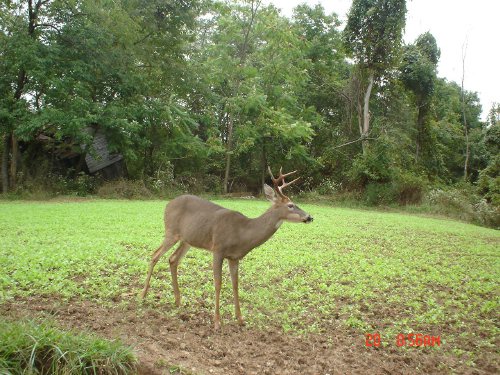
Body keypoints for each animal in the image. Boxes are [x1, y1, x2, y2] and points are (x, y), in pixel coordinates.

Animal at [141, 167, 312, 328]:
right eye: (290, 205)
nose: (309, 217)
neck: (242, 233)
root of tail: (168, 204)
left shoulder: (234, 257)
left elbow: (235, 285)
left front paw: (241, 319)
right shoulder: (218, 249)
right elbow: (218, 283)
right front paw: (217, 321)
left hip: (188, 240)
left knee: (173, 259)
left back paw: (177, 300)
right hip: (171, 231)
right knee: (155, 255)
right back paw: (143, 295)